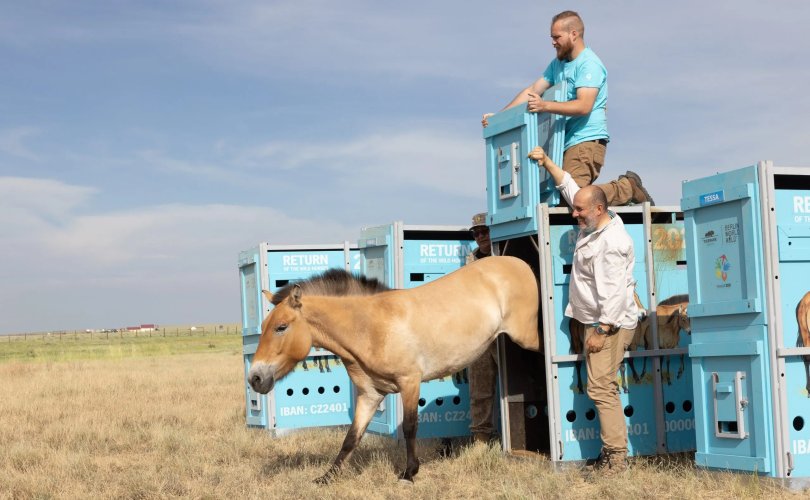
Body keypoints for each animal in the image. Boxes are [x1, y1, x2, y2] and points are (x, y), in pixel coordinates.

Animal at [246, 256, 536, 482]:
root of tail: (518, 264)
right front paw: (327, 477)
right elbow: (352, 437)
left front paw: (409, 473)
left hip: (528, 338)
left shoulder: (409, 382)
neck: (371, 326)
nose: (255, 378)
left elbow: (409, 427)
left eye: (281, 327)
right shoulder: (370, 395)